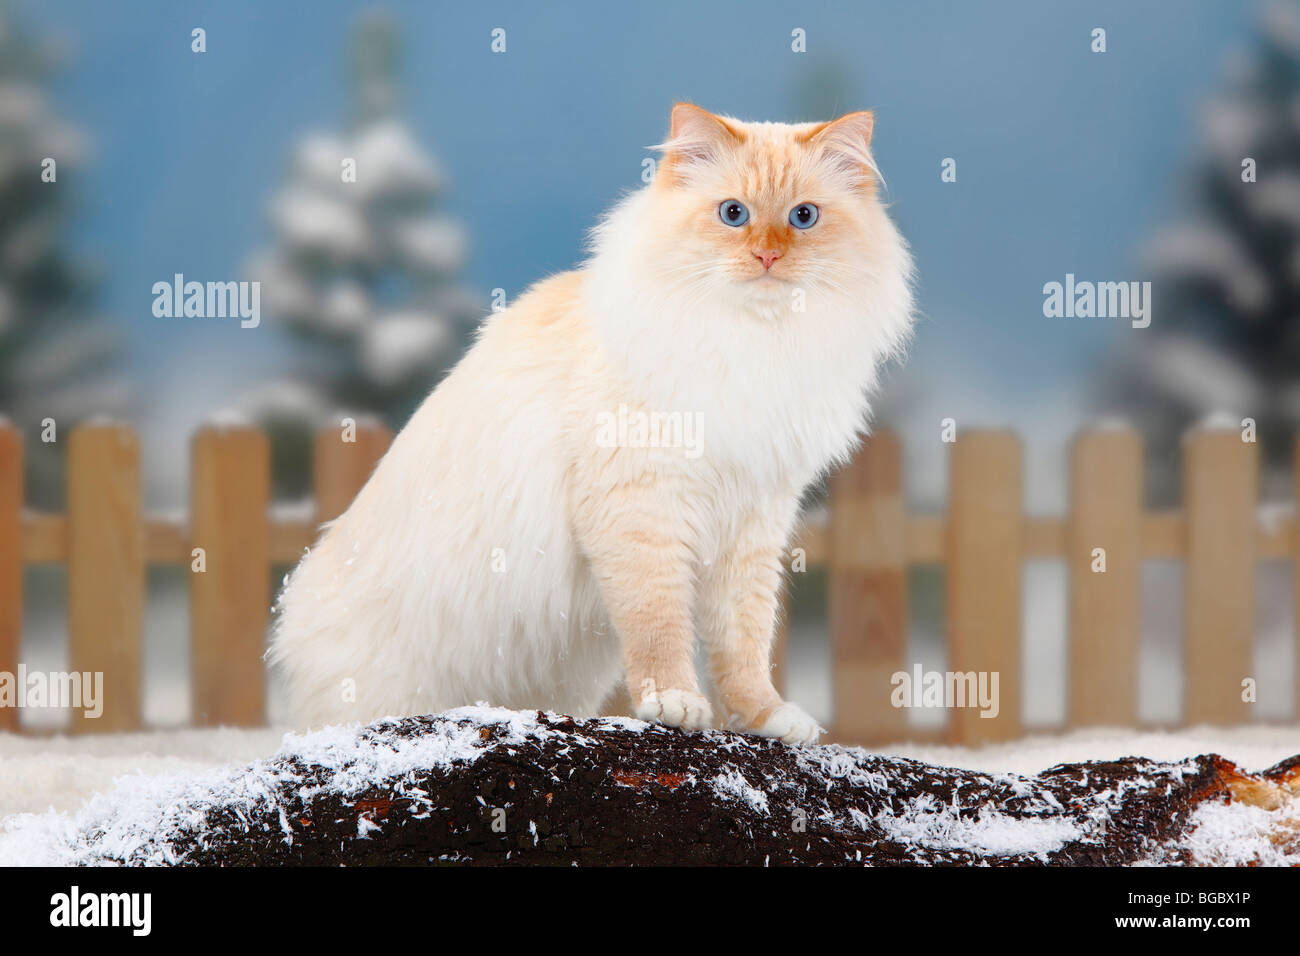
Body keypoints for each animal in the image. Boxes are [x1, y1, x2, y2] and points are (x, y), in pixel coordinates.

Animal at [267, 104, 909, 749]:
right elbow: (660, 628)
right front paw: (676, 704)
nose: (768, 257)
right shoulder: (641, 508)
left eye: (804, 217)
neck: (755, 343)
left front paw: (767, 718)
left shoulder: (753, 522)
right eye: (734, 214)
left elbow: (744, 646)